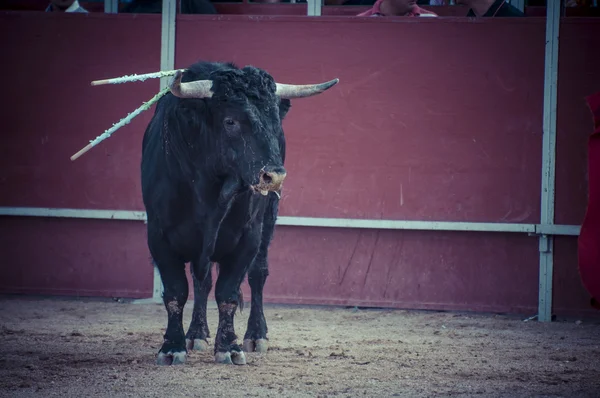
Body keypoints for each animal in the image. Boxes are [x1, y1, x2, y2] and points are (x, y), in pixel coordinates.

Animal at [140, 60, 338, 366]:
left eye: (275, 120)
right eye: (230, 121)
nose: (274, 176)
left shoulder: (247, 238)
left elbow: (228, 292)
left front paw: (229, 347)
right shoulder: (158, 236)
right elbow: (175, 291)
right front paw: (172, 347)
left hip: (268, 219)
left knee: (257, 274)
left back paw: (256, 335)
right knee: (201, 279)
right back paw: (197, 333)